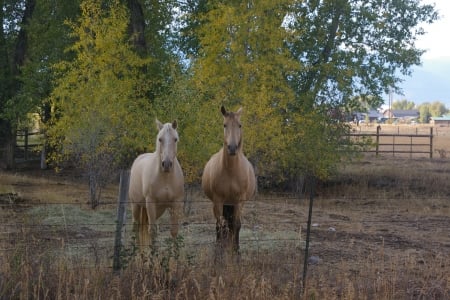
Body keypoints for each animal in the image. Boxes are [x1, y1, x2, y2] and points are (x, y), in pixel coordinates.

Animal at [128, 118, 185, 250]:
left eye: (175, 139)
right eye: (160, 139)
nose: (167, 164)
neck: (166, 178)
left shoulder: (176, 203)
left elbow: (174, 231)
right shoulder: (150, 202)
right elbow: (152, 231)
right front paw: (153, 255)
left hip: (158, 210)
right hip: (136, 205)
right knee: (136, 227)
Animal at [201, 106, 255, 252]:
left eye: (240, 125)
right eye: (225, 125)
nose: (232, 148)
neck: (231, 171)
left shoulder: (239, 201)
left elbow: (236, 225)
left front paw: (236, 249)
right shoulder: (218, 201)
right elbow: (220, 225)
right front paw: (219, 248)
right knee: (220, 224)